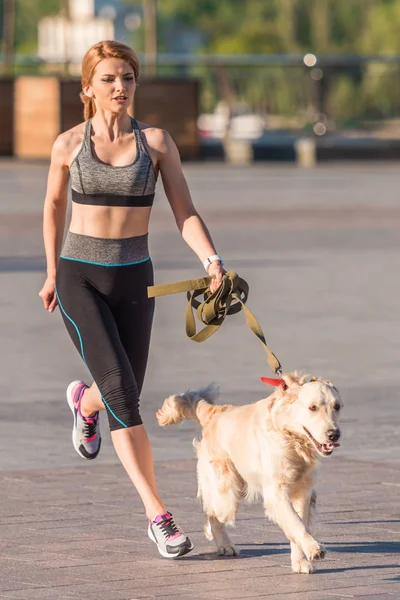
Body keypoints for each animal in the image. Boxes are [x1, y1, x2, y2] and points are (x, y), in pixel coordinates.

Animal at [157, 372, 344, 576]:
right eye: (313, 407)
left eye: (337, 407)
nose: (334, 434)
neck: (290, 438)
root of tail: (216, 413)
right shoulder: (276, 493)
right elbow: (296, 523)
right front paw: (313, 549)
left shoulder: (303, 491)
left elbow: (300, 523)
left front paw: (300, 561)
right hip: (227, 494)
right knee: (213, 514)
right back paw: (224, 544)